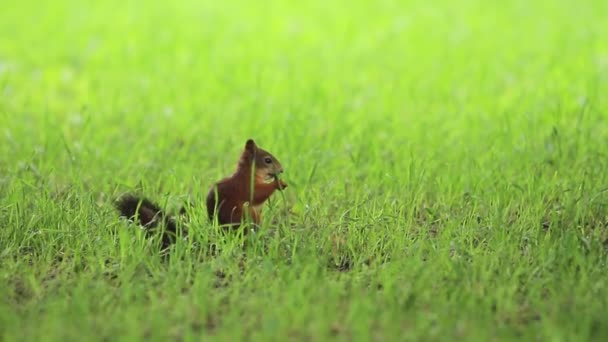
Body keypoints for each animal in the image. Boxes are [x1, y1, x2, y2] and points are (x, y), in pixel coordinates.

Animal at [115, 139, 288, 248]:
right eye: (267, 160)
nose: (281, 170)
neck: (248, 173)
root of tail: (220, 234)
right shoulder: (245, 185)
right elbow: (257, 194)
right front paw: (278, 183)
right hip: (245, 217)